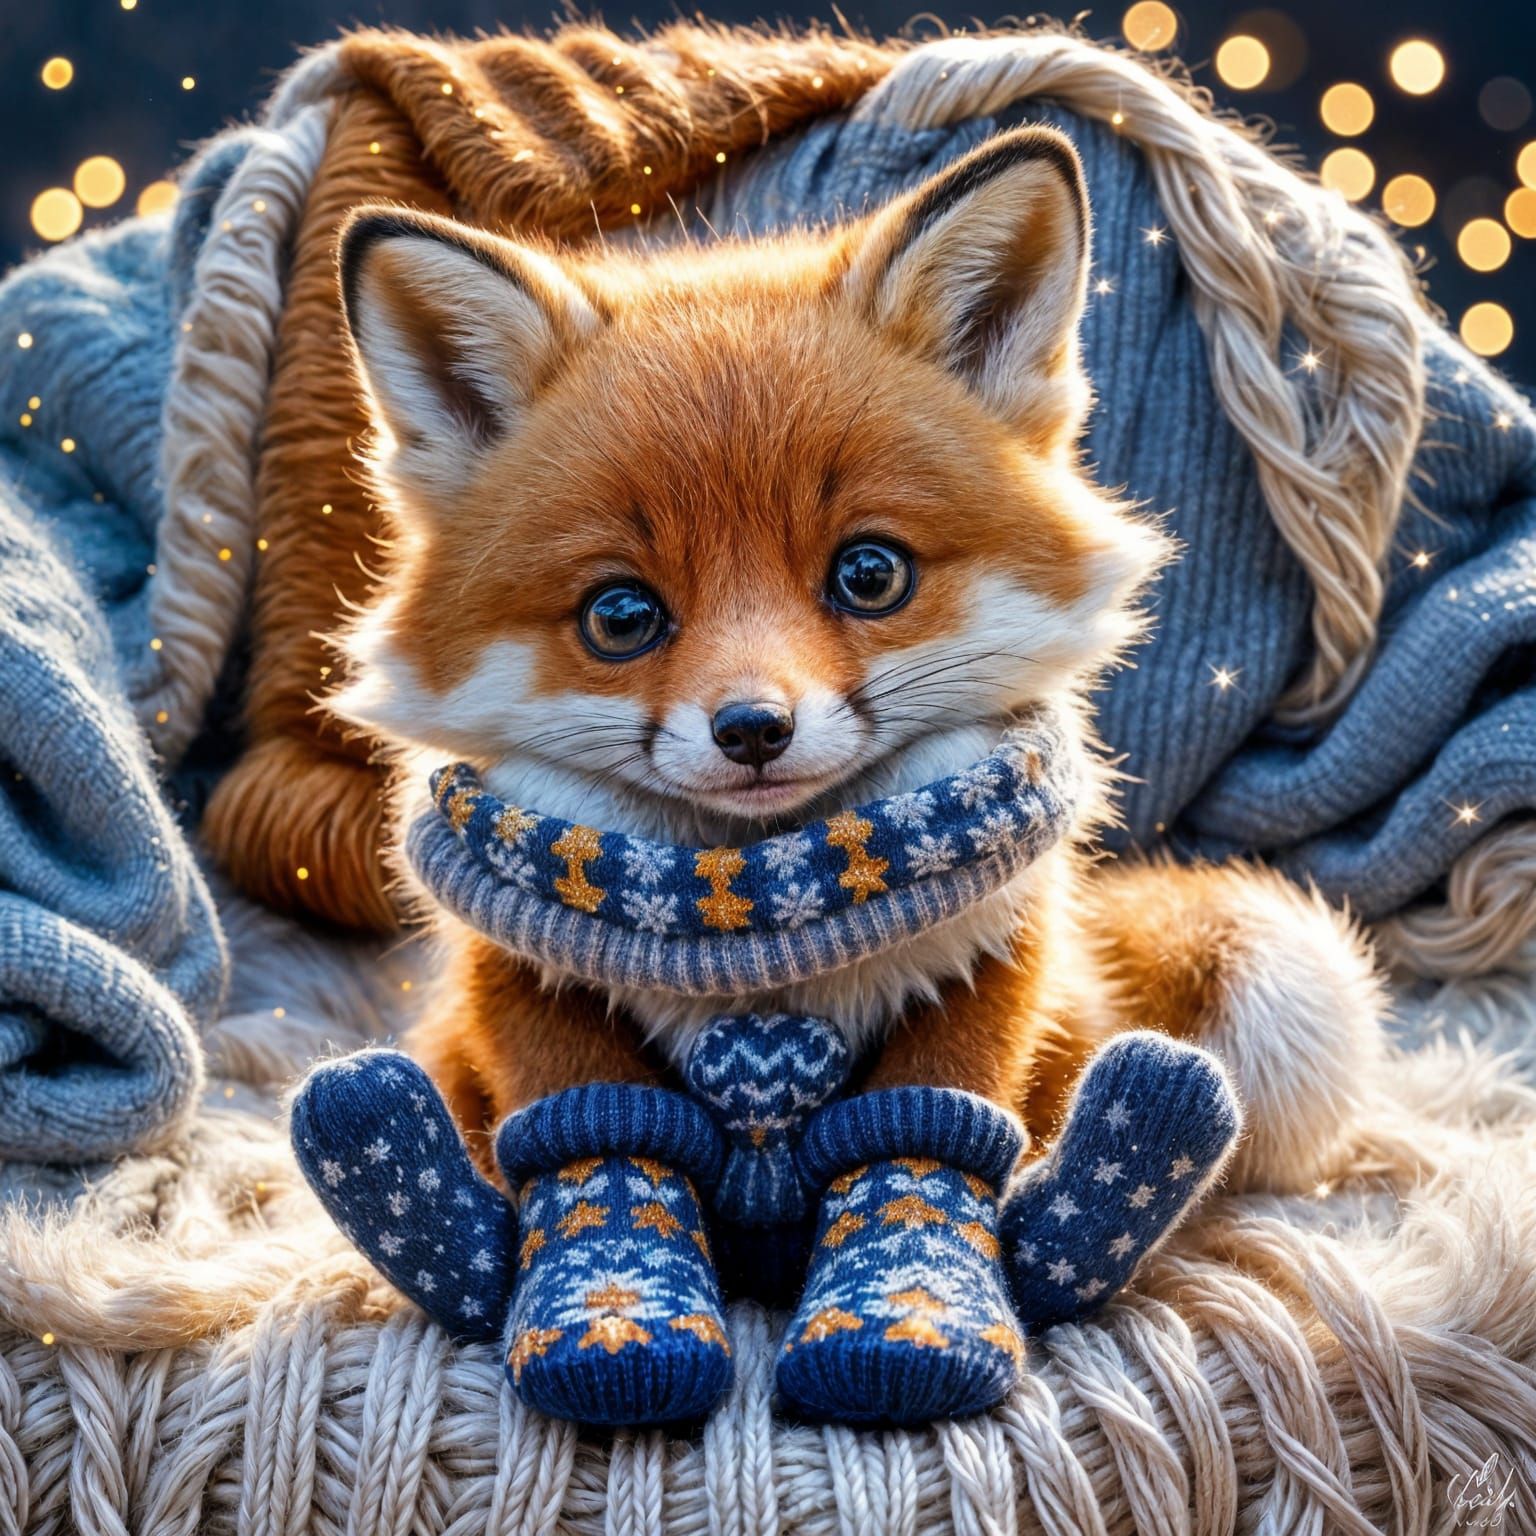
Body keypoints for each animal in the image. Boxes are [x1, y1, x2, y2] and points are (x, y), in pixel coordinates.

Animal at [319, 126, 1383, 1406]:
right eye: (621, 616)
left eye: (870, 574)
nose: (752, 729)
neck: (758, 930)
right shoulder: (525, 987)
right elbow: (593, 1130)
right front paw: (612, 1311)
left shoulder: (989, 970)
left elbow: (925, 1133)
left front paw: (908, 1313)